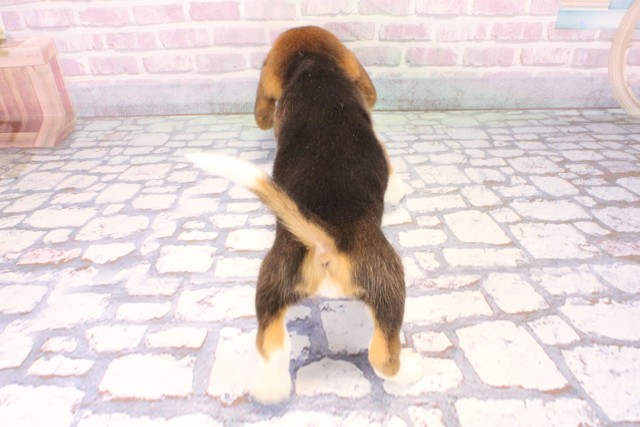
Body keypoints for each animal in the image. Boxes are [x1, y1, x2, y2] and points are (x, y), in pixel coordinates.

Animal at [189, 26, 422, 404]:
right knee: (382, 355)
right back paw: (410, 368)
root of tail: (324, 239)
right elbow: (395, 180)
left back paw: (271, 387)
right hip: (388, 282)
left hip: (272, 282)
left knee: (270, 346)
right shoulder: (385, 158)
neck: (312, 67)